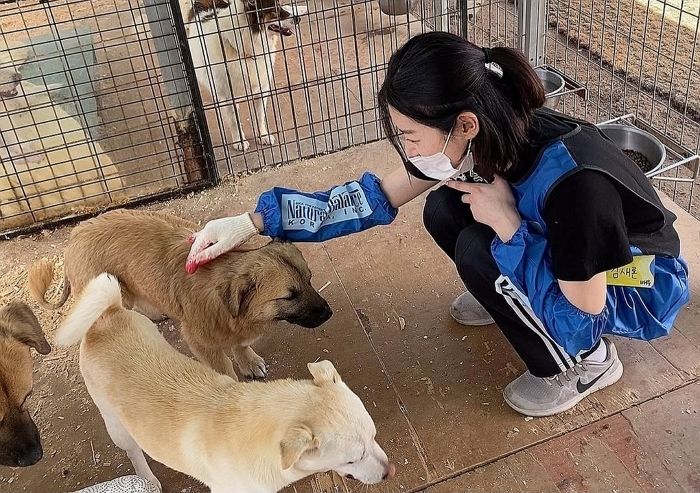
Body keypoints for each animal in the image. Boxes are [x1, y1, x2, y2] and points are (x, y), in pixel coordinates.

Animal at [28, 209, 330, 378]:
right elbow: (224, 369)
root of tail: (74, 238)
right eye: (289, 296)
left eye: (310, 280)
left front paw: (248, 360)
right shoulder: (200, 343)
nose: (329, 313)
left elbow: (241, 344)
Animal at [54, 272, 394, 492]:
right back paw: (147, 479)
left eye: (375, 436)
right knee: (134, 452)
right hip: (117, 427)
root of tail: (106, 315)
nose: (389, 473)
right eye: (353, 459)